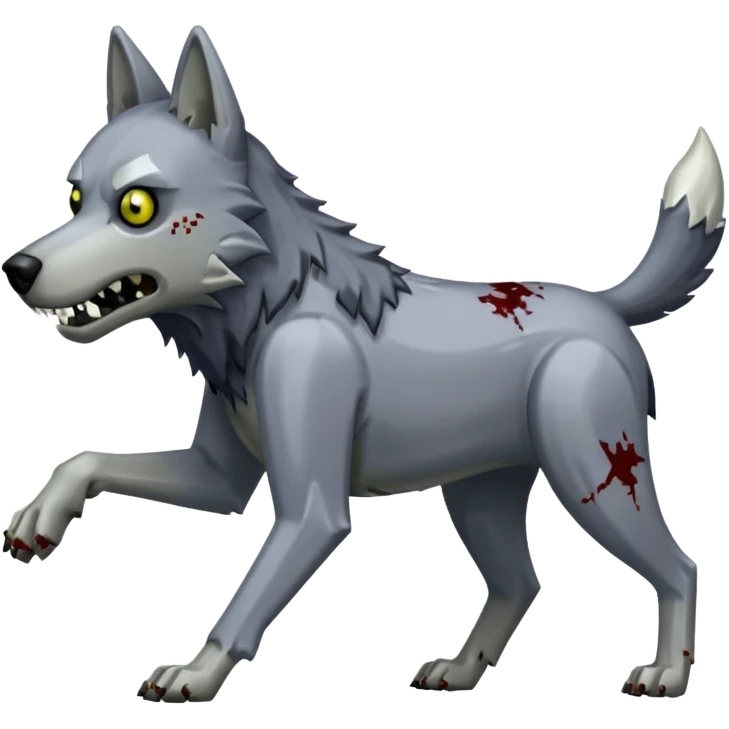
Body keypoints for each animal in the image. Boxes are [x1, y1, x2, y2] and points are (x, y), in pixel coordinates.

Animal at [2, 24, 724, 702]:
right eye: (74, 198)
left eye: (137, 206)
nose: (18, 268)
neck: (267, 304)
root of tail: (603, 303)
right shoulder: (217, 481)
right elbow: (85, 458)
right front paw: (40, 517)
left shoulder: (312, 509)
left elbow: (243, 602)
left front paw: (196, 674)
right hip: (479, 496)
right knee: (521, 583)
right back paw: (460, 670)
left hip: (593, 475)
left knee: (680, 566)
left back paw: (665, 673)